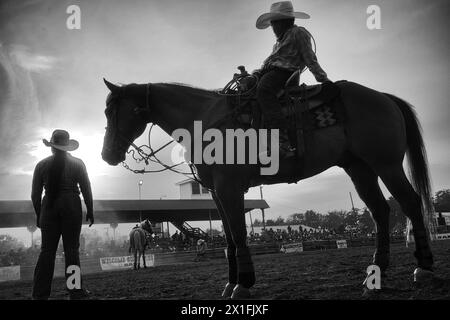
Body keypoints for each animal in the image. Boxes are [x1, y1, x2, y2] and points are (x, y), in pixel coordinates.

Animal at [100, 79, 434, 298]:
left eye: (117, 111)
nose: (106, 155)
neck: (207, 121)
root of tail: (383, 97)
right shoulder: (218, 193)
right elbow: (229, 239)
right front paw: (231, 282)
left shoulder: (230, 187)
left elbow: (237, 234)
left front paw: (242, 284)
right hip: (360, 168)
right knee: (380, 212)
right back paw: (376, 273)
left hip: (386, 164)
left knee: (410, 203)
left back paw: (423, 268)